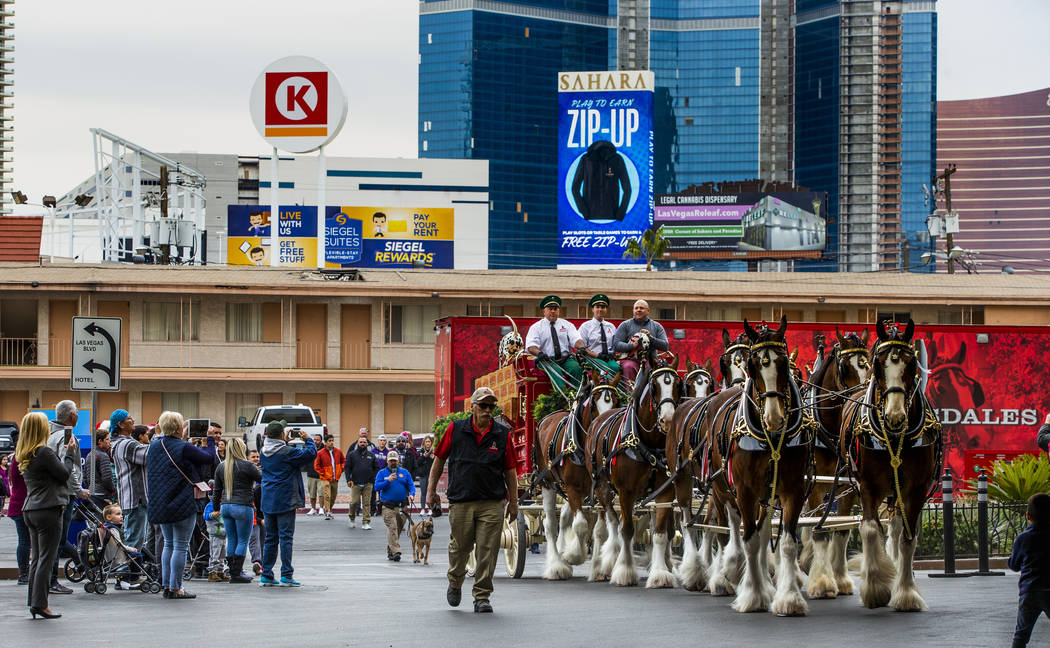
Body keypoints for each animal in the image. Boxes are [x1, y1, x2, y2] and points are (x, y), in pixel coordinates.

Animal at [537, 371, 617, 579]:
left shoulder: (599, 488)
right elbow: (581, 525)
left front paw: (598, 568)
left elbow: (599, 530)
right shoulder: (572, 487)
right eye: (594, 403)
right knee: (550, 524)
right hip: (547, 483)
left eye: (616, 401)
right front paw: (573, 556)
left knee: (564, 518)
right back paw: (557, 566)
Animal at [583, 352, 680, 588]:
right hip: (603, 488)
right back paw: (605, 563)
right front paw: (625, 570)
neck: (650, 445)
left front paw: (660, 573)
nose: (668, 420)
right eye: (654, 386)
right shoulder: (626, 491)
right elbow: (626, 530)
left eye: (677, 385)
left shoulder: (665, 492)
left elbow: (660, 533)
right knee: (610, 523)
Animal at [839, 319, 940, 613]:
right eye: (878, 363)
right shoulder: (868, 485)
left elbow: (906, 537)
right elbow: (871, 529)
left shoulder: (917, 487)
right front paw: (875, 588)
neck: (895, 438)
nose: (895, 417)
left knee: (895, 529)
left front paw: (905, 593)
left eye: (911, 363)